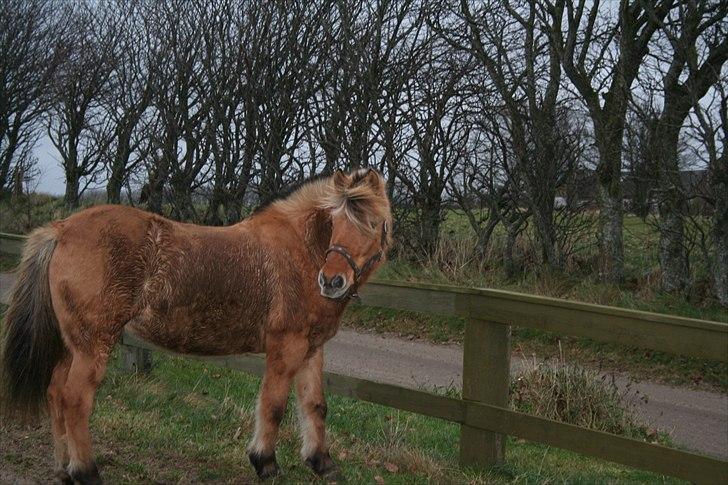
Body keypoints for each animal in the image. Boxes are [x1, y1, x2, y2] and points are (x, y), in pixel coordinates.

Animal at [0, 168, 392, 483]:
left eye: (372, 224)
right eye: (335, 223)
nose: (332, 282)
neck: (302, 252)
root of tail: (62, 229)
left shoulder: (313, 348)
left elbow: (315, 406)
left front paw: (322, 462)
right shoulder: (287, 346)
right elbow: (274, 405)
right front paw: (265, 463)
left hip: (72, 344)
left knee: (55, 393)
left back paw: (64, 468)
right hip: (93, 344)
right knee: (75, 400)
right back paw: (87, 471)